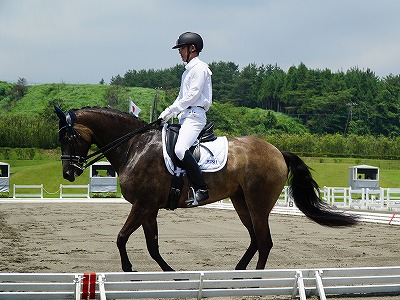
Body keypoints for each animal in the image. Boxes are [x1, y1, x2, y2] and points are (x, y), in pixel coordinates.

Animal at [54, 106, 358, 274]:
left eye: (69, 136)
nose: (68, 173)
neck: (134, 146)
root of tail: (277, 152)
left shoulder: (142, 205)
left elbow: (120, 237)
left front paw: (129, 269)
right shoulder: (148, 208)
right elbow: (152, 246)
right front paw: (169, 272)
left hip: (258, 203)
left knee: (265, 241)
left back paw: (257, 280)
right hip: (241, 201)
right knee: (255, 239)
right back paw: (238, 272)